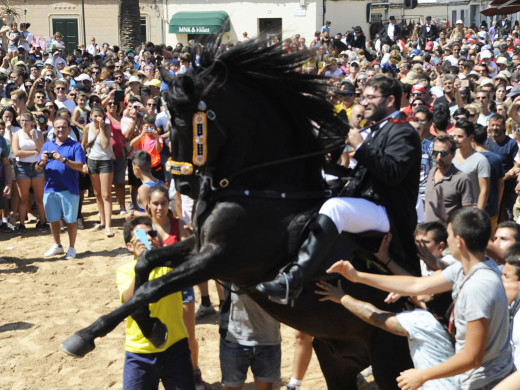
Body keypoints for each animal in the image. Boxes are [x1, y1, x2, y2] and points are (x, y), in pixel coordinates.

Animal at [61, 38, 412, 388]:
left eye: (181, 123)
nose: (183, 184)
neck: (260, 188)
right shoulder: (199, 246)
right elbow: (146, 263)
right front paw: (150, 327)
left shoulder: (223, 258)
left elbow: (153, 287)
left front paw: (83, 337)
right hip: (336, 358)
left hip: (389, 360)